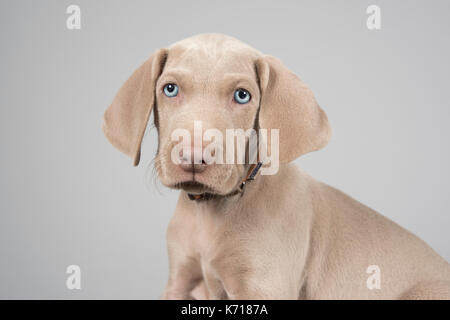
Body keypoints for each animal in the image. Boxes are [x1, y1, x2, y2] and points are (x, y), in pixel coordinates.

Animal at [103, 33, 450, 298]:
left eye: (242, 96)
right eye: (170, 89)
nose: (192, 156)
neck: (211, 212)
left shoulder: (263, 286)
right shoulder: (180, 280)